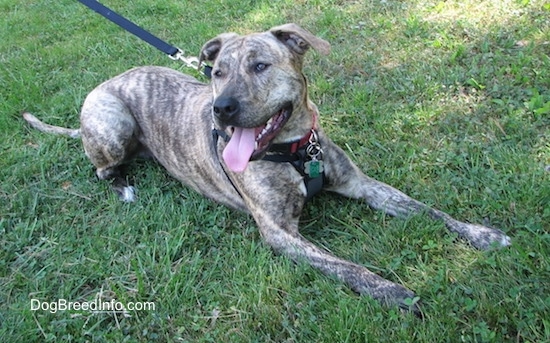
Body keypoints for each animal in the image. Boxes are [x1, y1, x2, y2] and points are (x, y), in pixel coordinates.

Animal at [22, 23, 512, 314]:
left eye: (260, 65)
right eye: (217, 72)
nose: (220, 108)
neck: (294, 149)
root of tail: (98, 91)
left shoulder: (363, 184)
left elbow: (427, 210)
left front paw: (483, 235)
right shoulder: (280, 233)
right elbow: (347, 267)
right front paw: (394, 291)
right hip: (113, 124)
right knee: (101, 170)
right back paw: (123, 187)